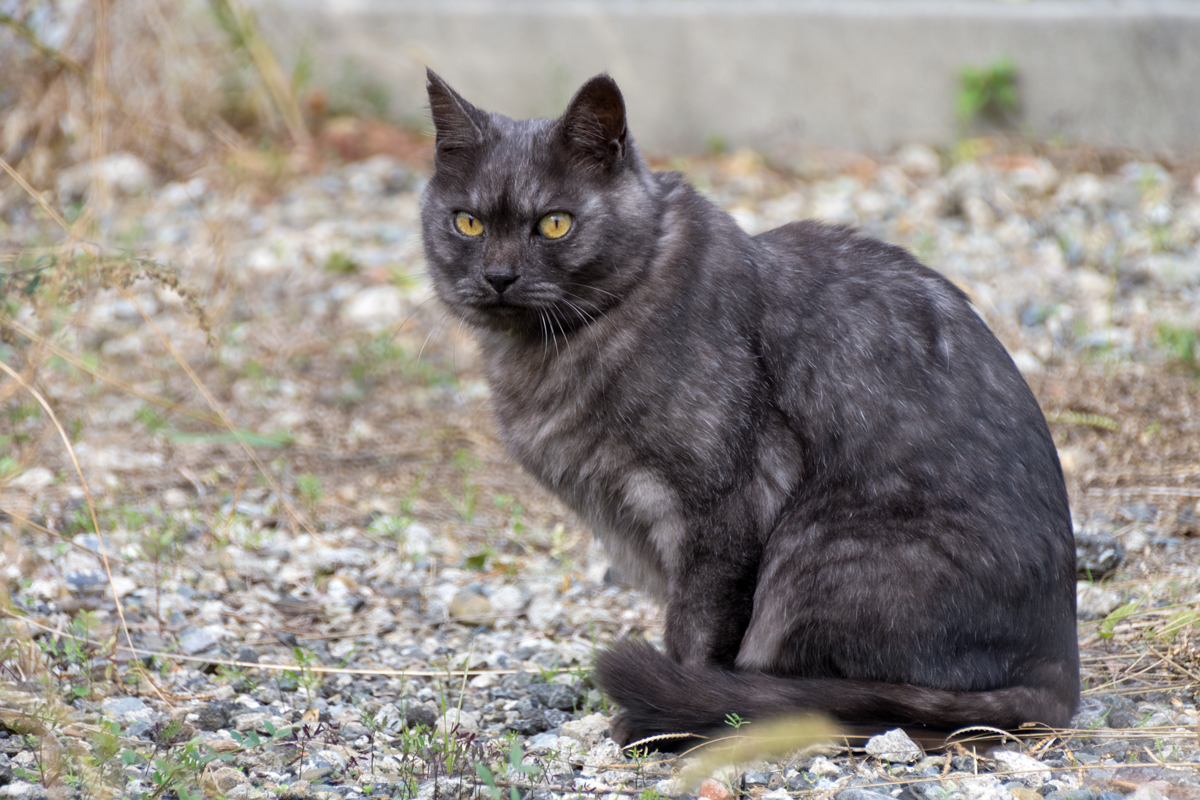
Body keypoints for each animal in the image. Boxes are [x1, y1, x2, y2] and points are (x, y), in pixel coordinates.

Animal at [420, 70, 1080, 753]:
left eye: (554, 224)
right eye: (467, 222)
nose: (499, 276)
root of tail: (1060, 672)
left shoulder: (725, 507)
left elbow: (695, 629)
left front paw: (669, 713)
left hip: (817, 550)